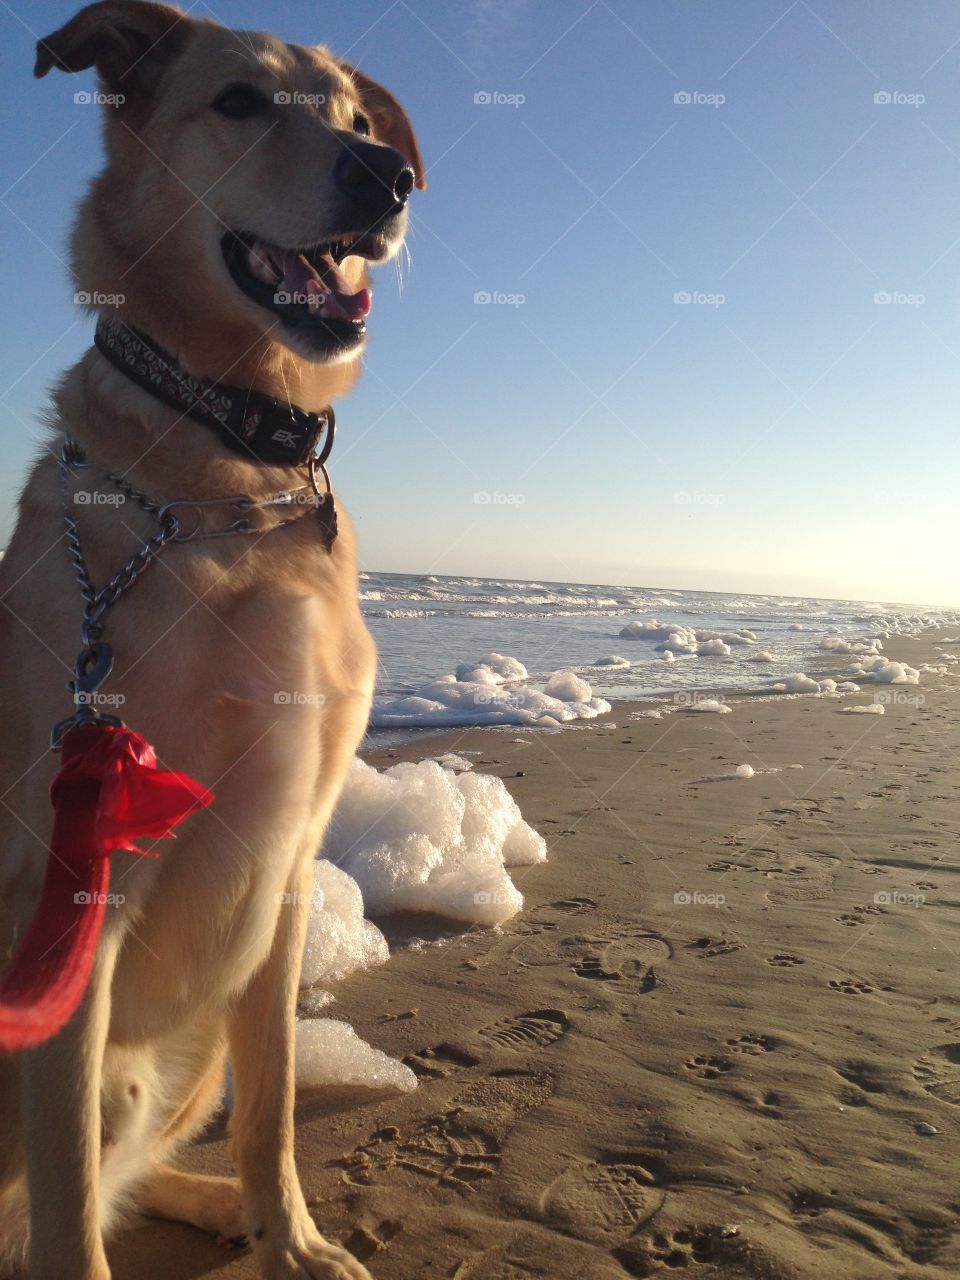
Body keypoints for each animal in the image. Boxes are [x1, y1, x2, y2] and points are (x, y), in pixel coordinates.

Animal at [0, 5, 424, 1274]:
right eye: (239, 103)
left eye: (356, 117)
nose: (384, 175)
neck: (239, 474)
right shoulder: (82, 887)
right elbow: (65, 1197)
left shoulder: (283, 869)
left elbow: (273, 1099)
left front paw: (290, 1233)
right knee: (58, 1196)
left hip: (182, 1056)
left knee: (135, 1167)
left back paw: (222, 1205)